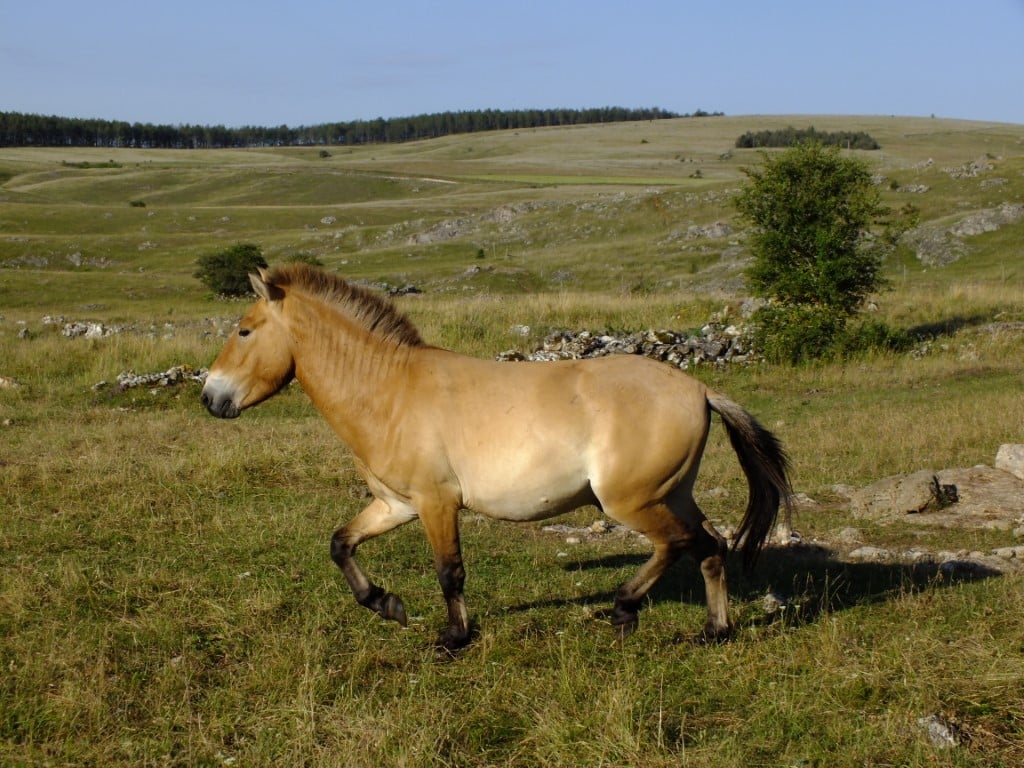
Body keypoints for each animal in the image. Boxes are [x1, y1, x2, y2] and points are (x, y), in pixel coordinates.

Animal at [199, 264, 790, 651]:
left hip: (630, 501)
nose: (210, 398)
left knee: (677, 544)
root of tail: (701, 390)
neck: (390, 392)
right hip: (673, 493)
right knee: (709, 545)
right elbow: (341, 545)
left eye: (244, 330)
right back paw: (714, 631)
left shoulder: (436, 504)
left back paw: (623, 609)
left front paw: (453, 637)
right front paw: (388, 605)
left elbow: (449, 572)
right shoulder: (396, 505)